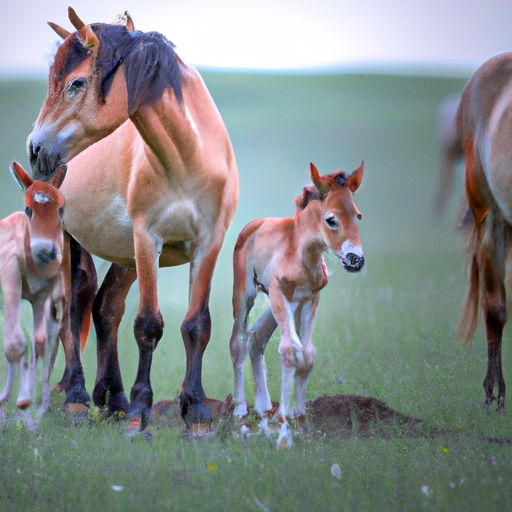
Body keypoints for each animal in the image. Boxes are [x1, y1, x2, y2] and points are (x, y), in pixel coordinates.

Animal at [27, 9, 237, 432]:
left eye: (76, 83)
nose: (35, 148)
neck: (187, 159)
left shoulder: (208, 244)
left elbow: (197, 325)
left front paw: (197, 412)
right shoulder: (147, 241)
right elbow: (148, 326)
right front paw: (141, 413)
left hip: (125, 257)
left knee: (105, 307)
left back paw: (113, 399)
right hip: (69, 238)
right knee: (72, 307)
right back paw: (77, 398)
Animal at [228, 161, 364, 444]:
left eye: (358, 215)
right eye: (331, 219)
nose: (355, 259)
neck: (301, 254)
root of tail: (254, 224)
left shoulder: (310, 298)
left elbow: (307, 353)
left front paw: (300, 419)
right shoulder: (279, 292)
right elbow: (290, 350)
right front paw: (284, 431)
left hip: (284, 306)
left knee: (257, 338)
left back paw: (265, 408)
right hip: (248, 294)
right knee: (238, 341)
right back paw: (241, 411)